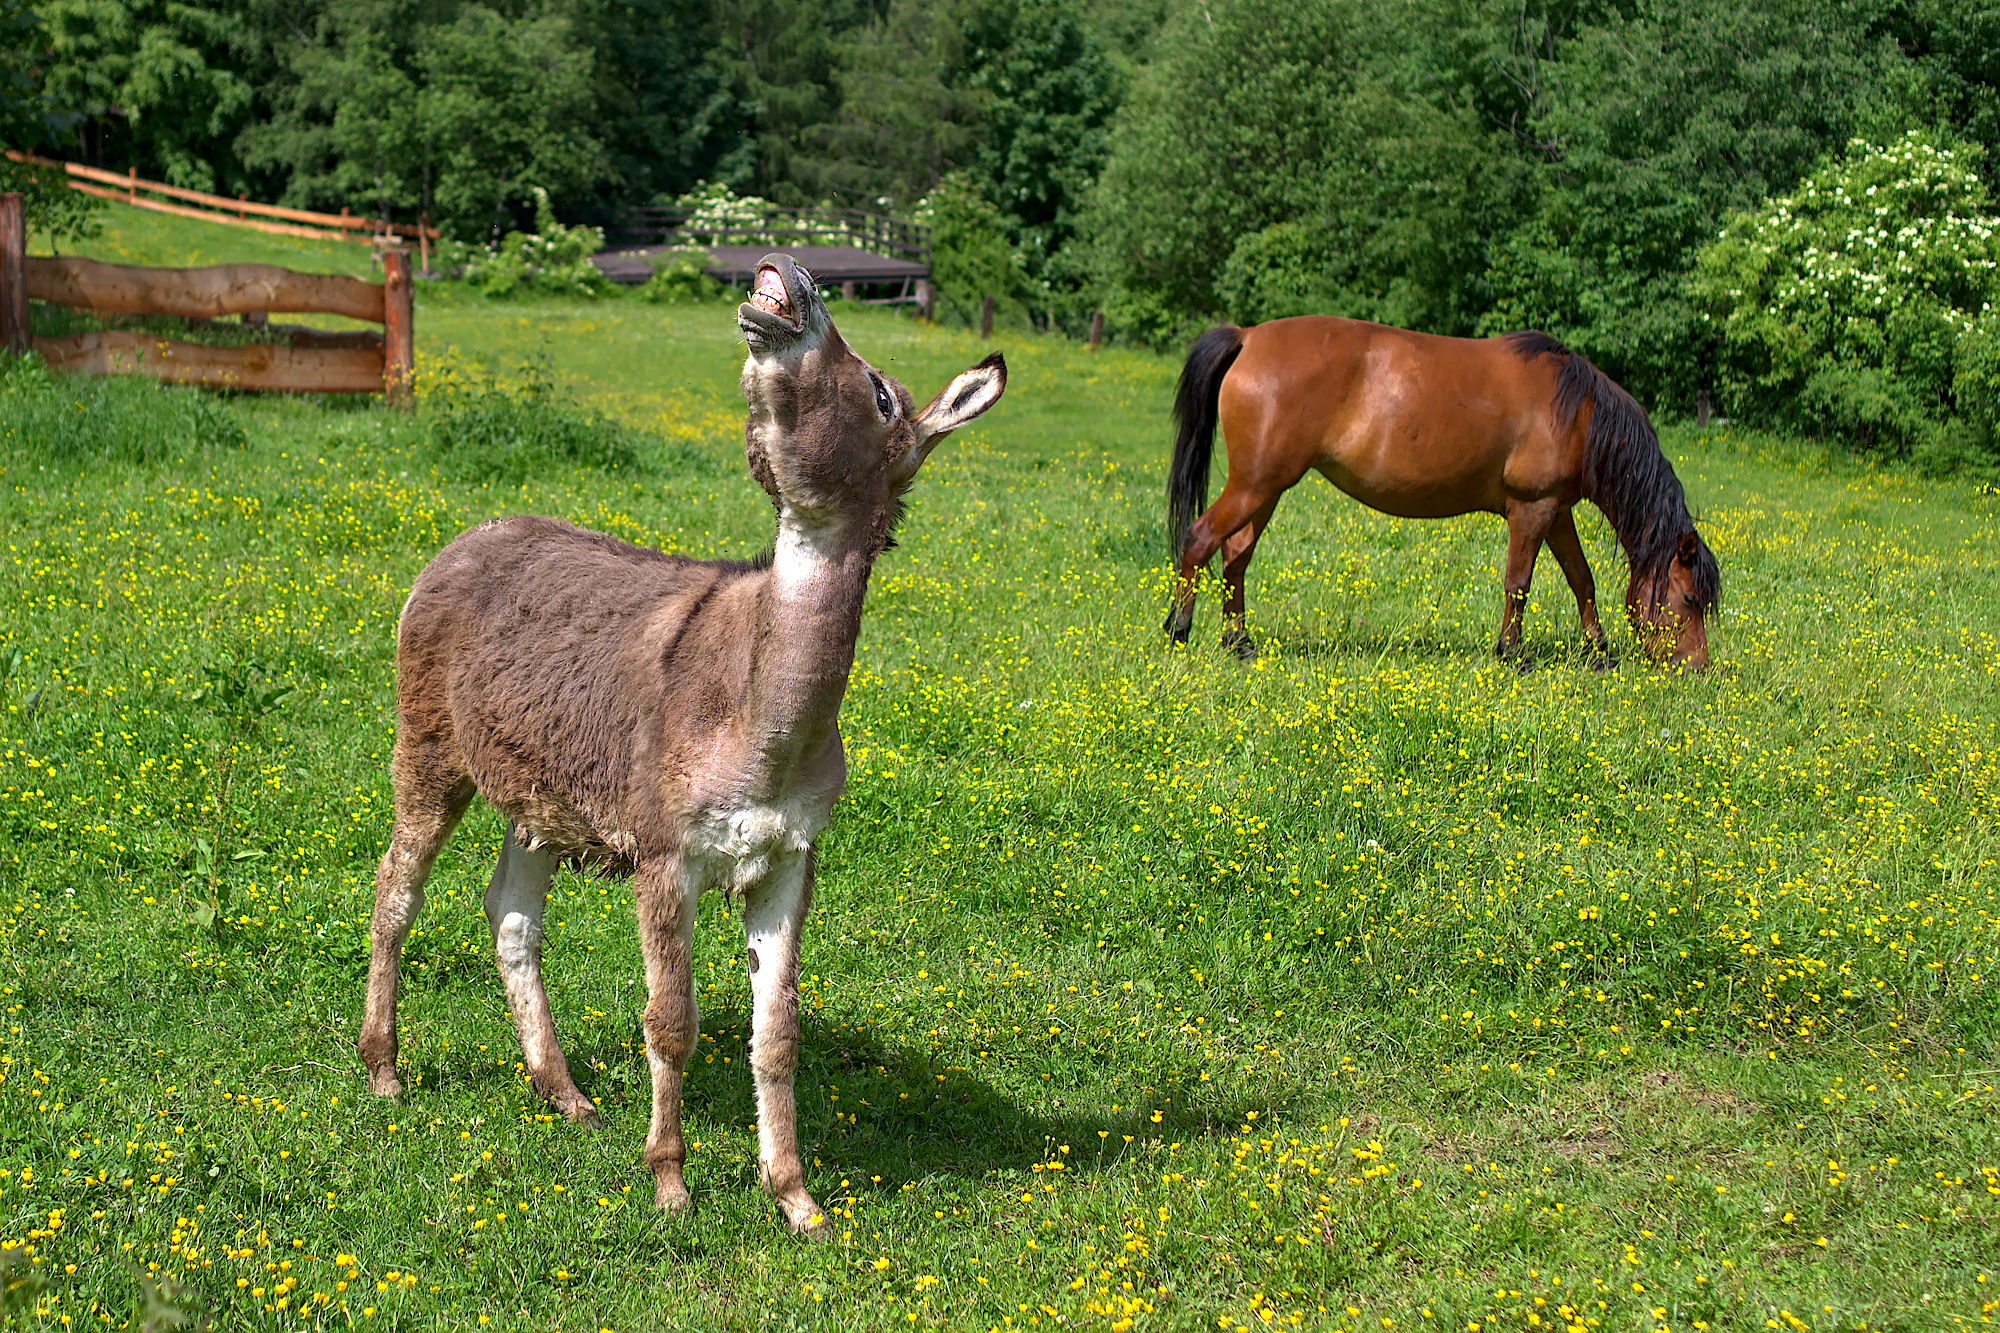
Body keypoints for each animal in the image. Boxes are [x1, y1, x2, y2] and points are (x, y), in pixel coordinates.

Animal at [1168, 312, 1720, 664]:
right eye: (1690, 599)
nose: (1696, 667)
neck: (1577, 412)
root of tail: (1248, 337)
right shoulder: (1532, 509)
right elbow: (1519, 584)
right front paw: (1512, 654)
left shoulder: (1557, 512)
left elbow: (1581, 580)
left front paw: (1599, 652)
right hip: (1256, 485)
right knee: (1199, 539)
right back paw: (1179, 631)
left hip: (1266, 489)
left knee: (1235, 555)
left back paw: (1239, 643)